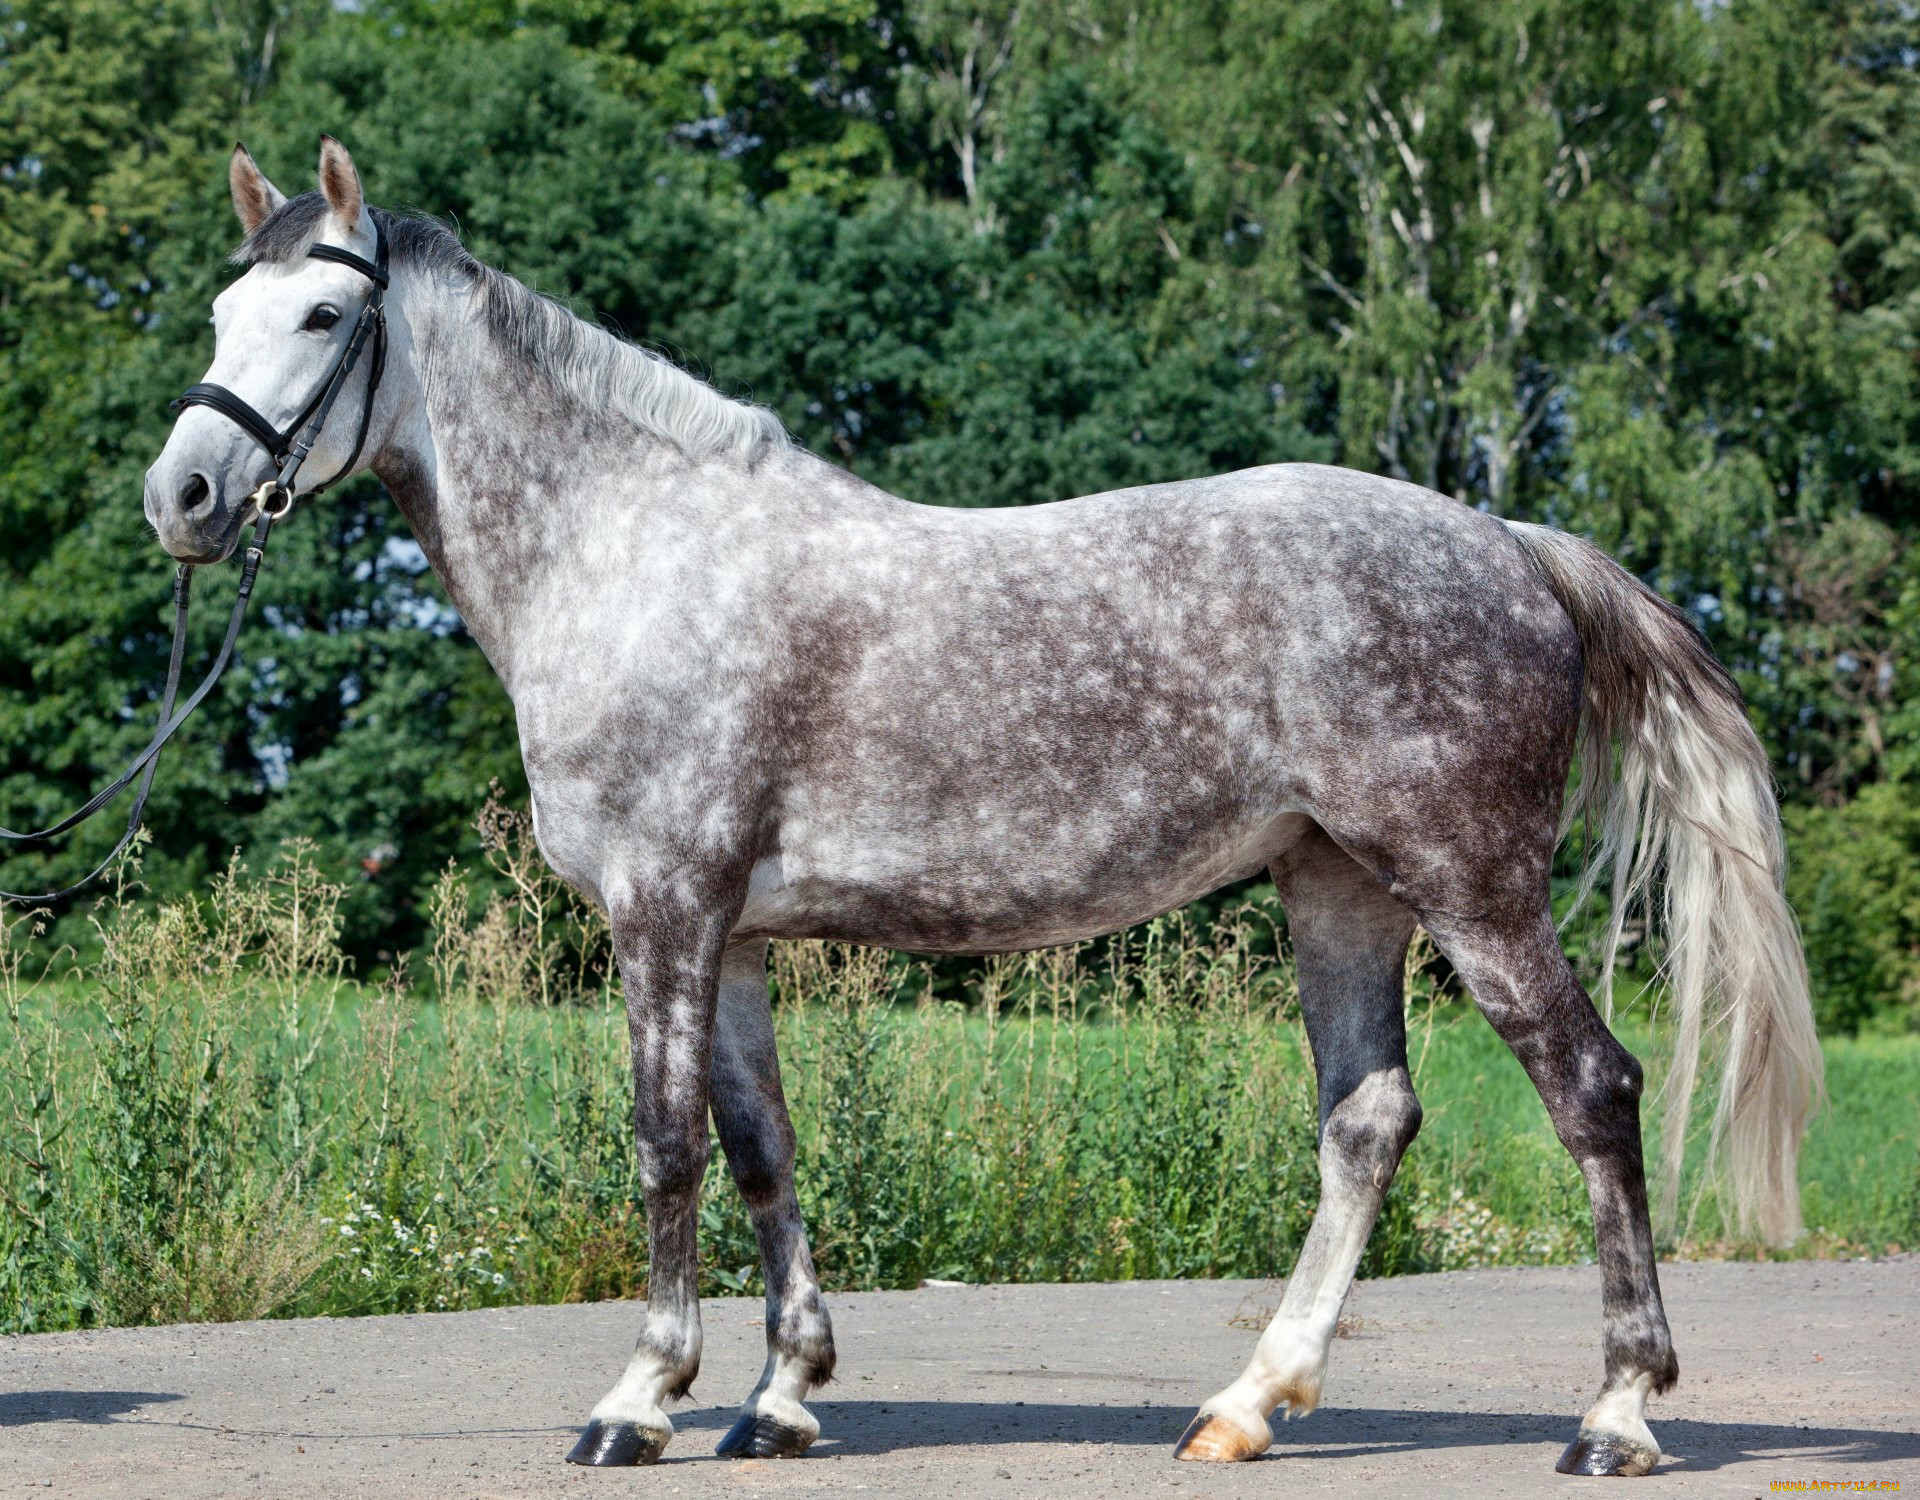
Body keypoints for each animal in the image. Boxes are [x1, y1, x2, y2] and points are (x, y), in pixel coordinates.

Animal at [142, 140, 1820, 1475]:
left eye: (325, 316)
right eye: (221, 314)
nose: (184, 497)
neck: (635, 554)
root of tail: (1514, 544)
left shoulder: (664, 911)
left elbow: (666, 1145)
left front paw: (641, 1400)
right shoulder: (736, 938)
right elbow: (763, 1148)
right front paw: (782, 1397)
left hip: (1473, 887)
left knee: (1593, 1093)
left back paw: (1616, 1417)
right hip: (1339, 888)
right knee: (1366, 1120)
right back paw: (1247, 1405)